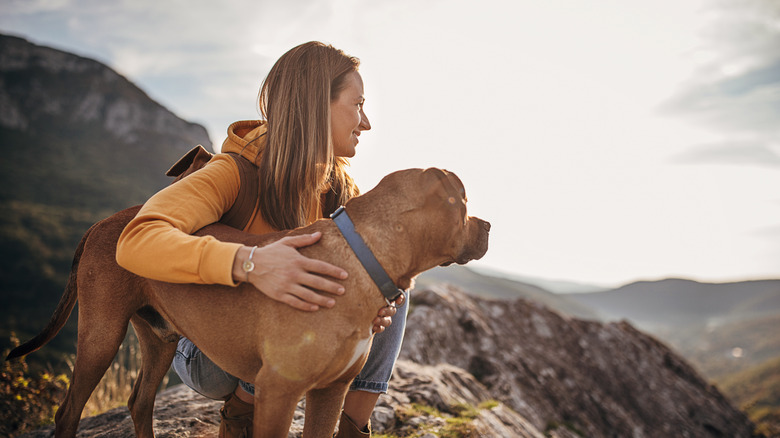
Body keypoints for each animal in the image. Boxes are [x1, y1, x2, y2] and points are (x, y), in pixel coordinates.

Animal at [9, 167, 490, 434]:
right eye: (464, 202)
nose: (489, 226)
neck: (362, 254)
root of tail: (103, 223)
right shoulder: (279, 392)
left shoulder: (329, 393)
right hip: (101, 336)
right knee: (68, 413)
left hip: (160, 339)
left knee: (140, 403)